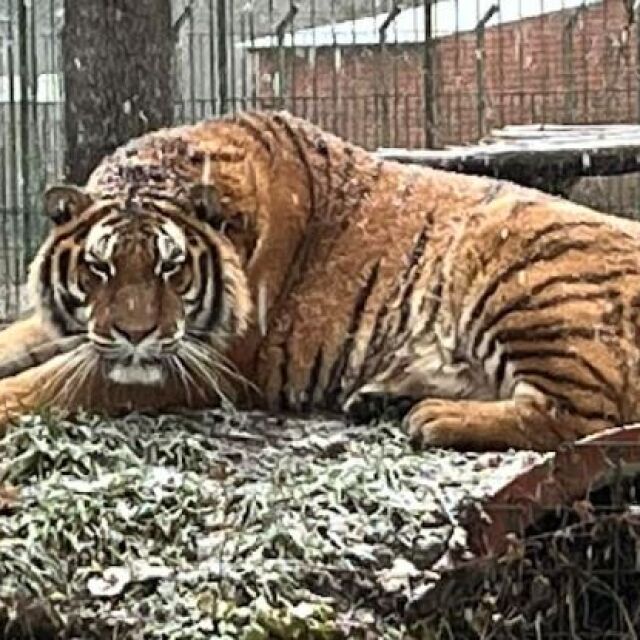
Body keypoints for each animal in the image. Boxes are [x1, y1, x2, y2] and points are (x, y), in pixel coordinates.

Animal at [1, 109, 640, 450]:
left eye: (171, 267)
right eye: (100, 267)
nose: (134, 335)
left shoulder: (200, 365)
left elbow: (52, 384)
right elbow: (19, 338)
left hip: (519, 276)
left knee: (584, 416)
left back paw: (432, 417)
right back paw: (384, 398)